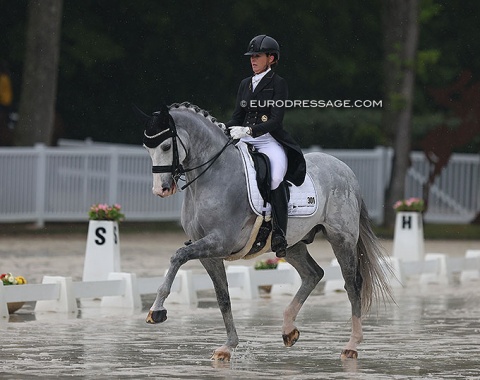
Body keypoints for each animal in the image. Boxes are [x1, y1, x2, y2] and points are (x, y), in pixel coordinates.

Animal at [140, 102, 394, 360]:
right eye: (147, 148)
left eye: (166, 146)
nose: (161, 189)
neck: (214, 176)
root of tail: (344, 168)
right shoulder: (208, 253)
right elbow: (223, 297)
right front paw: (228, 346)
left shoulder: (220, 242)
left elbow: (177, 257)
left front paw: (156, 311)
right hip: (292, 245)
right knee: (313, 274)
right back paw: (289, 329)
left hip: (341, 239)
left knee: (352, 284)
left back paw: (352, 345)